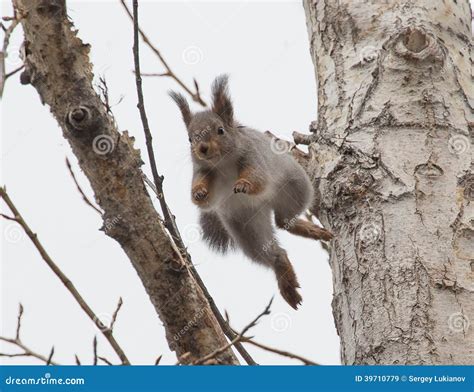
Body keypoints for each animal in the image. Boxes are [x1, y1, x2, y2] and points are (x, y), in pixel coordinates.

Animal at [170, 76, 334, 310]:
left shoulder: (254, 158)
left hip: (296, 188)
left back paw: (308, 229)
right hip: (247, 228)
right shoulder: (201, 171)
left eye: (220, 130)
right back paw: (285, 278)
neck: (223, 163)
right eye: (189, 139)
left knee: (285, 221)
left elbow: (257, 178)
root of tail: (267, 205)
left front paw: (243, 185)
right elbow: (203, 198)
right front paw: (199, 193)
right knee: (275, 250)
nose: (202, 148)